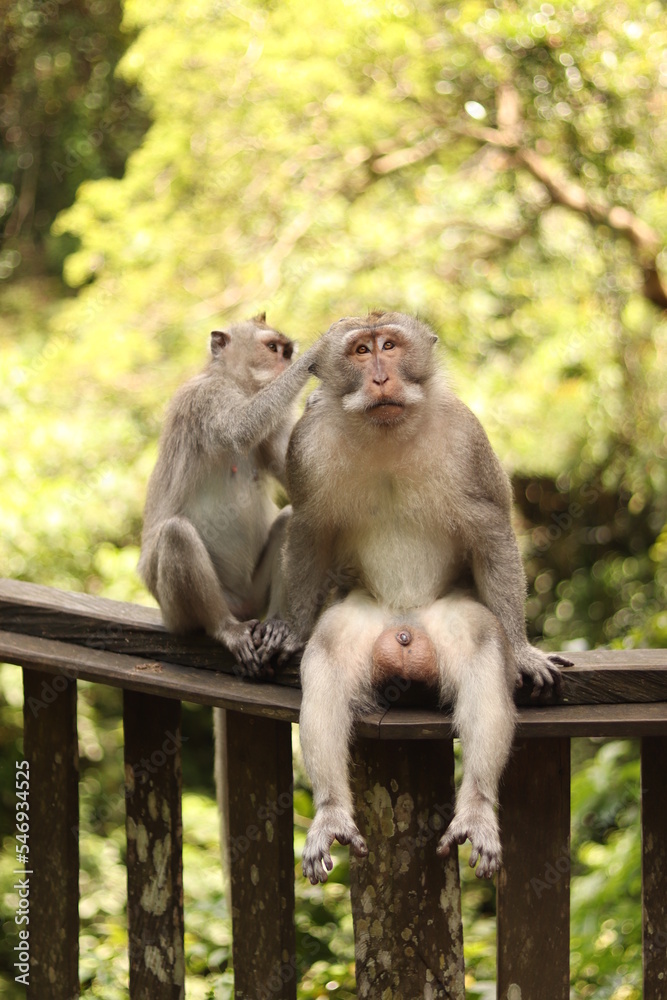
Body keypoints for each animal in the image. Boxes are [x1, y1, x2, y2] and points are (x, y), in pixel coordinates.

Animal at [138, 312, 320, 674]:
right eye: (273, 348)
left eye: (286, 351)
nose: (285, 364)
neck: (237, 384)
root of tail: (242, 608)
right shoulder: (207, 397)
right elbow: (241, 427)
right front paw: (325, 347)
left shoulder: (273, 429)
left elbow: (301, 484)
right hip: (178, 614)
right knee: (176, 534)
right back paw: (224, 628)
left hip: (253, 594)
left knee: (292, 518)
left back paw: (278, 623)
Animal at [272, 310, 572, 883]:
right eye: (361, 350)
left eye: (390, 345)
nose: (380, 376)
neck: (388, 433)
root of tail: (405, 626)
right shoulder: (306, 445)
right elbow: (309, 533)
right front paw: (289, 630)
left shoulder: (466, 439)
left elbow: (491, 529)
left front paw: (524, 650)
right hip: (367, 623)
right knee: (330, 650)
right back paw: (331, 811)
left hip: (444, 623)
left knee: (480, 644)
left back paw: (476, 808)